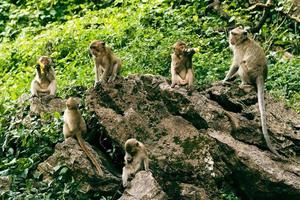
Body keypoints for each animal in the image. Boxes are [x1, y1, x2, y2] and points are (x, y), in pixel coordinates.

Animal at [223, 26, 282, 157]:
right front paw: (229, 78)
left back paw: (244, 84)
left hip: (250, 73)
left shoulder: (239, 50)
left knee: (242, 64)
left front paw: (225, 79)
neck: (243, 41)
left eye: (234, 34)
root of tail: (261, 75)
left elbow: (236, 64)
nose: (231, 39)